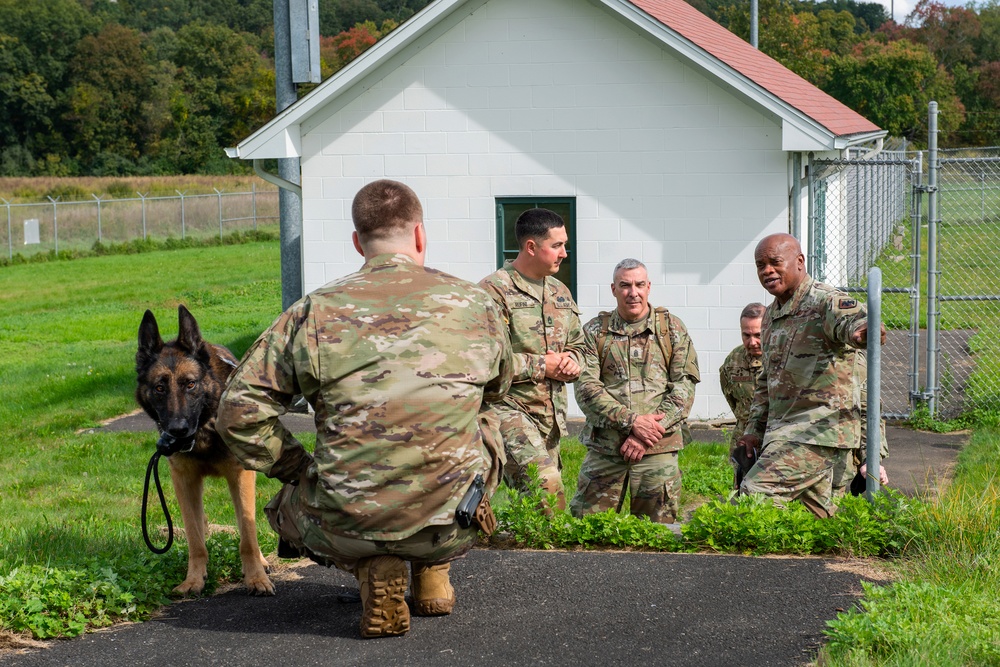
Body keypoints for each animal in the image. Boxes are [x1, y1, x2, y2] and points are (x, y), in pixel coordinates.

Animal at [135, 306, 274, 596]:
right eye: (159, 388)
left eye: (190, 384)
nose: (177, 430)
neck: (204, 429)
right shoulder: (184, 482)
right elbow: (194, 538)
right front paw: (194, 580)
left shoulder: (240, 477)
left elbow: (248, 534)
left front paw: (255, 577)